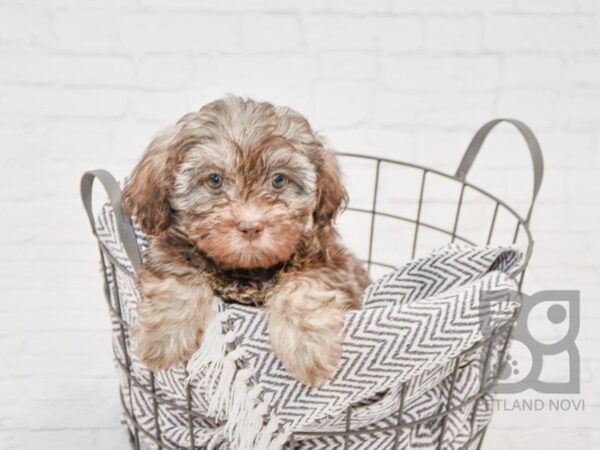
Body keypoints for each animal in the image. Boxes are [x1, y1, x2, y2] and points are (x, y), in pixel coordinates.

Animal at [122, 96, 370, 384]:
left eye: (278, 179)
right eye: (214, 180)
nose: (250, 226)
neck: (246, 270)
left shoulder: (332, 265)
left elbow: (303, 285)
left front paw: (308, 347)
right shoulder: (172, 249)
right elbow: (178, 277)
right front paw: (164, 338)